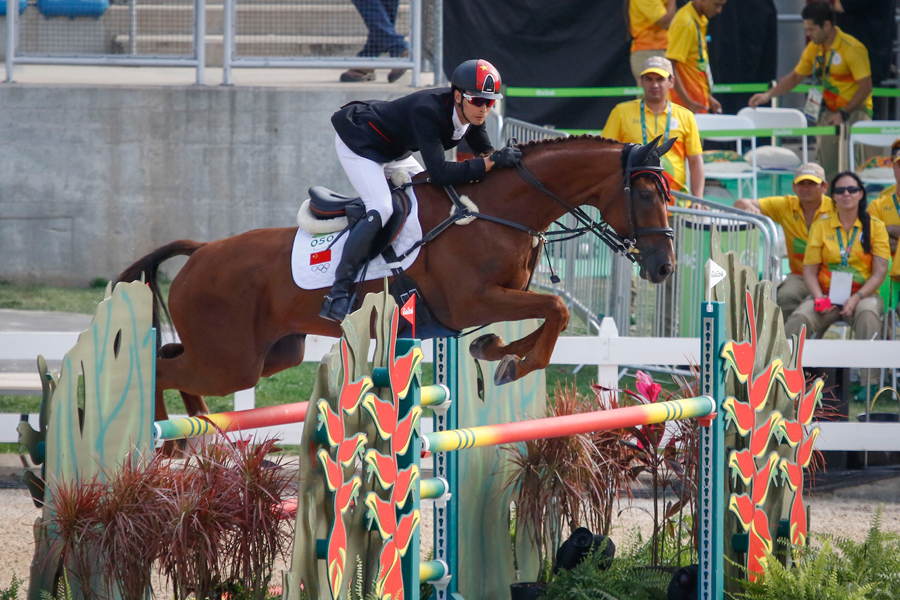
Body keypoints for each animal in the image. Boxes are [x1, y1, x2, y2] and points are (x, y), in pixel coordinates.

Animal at [118, 135, 676, 422]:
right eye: (648, 193)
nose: (664, 268)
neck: (493, 210)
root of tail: (202, 252)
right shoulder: (470, 302)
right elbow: (555, 310)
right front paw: (514, 364)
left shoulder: (501, 297)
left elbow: (544, 318)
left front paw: (496, 352)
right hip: (229, 362)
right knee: (163, 368)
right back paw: (168, 439)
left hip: (270, 354)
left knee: (173, 358)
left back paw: (194, 431)